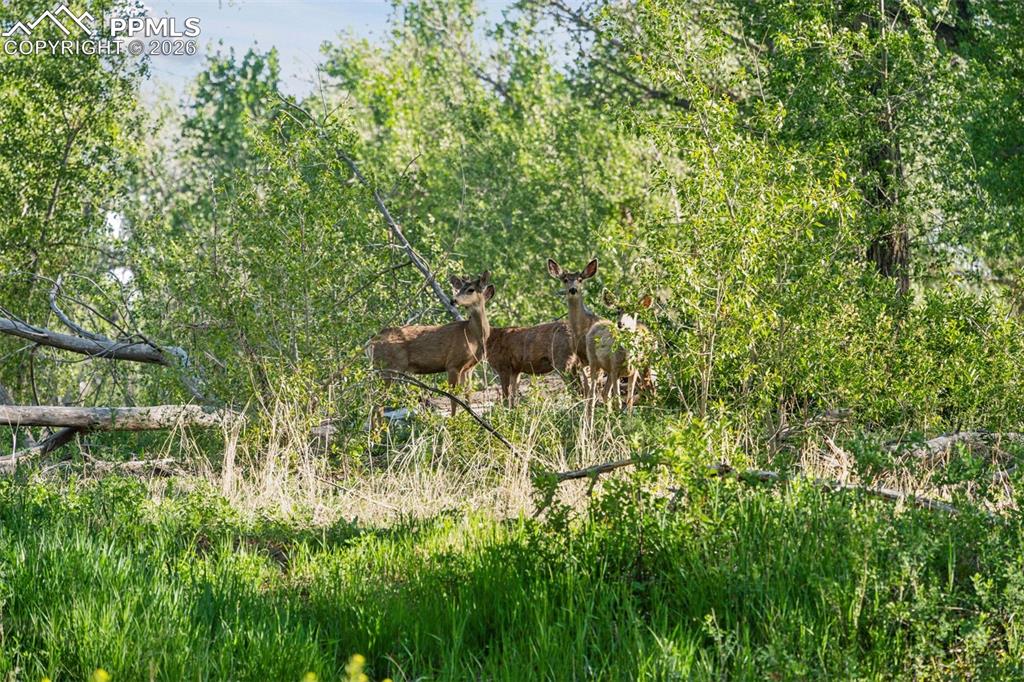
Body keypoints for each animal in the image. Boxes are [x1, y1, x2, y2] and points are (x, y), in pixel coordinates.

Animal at [369, 272, 495, 416]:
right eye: (459, 289)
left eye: (470, 289)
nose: (453, 300)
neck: (472, 335)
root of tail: (371, 342)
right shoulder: (452, 364)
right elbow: (454, 400)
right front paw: (454, 419)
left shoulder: (468, 368)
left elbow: (468, 397)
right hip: (389, 368)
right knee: (377, 404)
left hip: (381, 370)